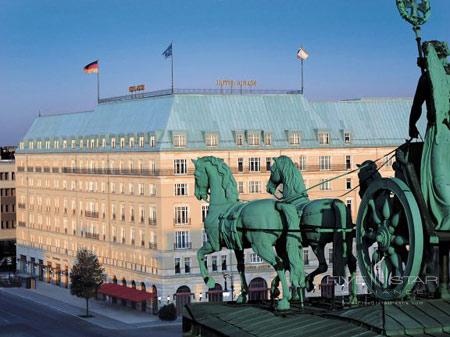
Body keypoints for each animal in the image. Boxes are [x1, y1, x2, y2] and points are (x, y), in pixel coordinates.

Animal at [193, 156, 306, 310]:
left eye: (196, 175)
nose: (198, 195)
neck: (221, 207)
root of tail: (278, 204)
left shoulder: (213, 244)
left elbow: (199, 254)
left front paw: (208, 281)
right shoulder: (237, 247)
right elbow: (240, 268)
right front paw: (243, 295)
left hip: (260, 246)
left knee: (279, 263)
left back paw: (284, 299)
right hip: (282, 244)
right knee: (290, 263)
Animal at [268, 154, 358, 300]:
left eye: (272, 170)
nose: (268, 188)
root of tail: (335, 202)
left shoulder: (282, 246)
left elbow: (286, 264)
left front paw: (277, 288)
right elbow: (290, 265)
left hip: (316, 244)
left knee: (323, 266)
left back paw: (308, 281)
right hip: (347, 241)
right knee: (352, 262)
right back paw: (353, 297)